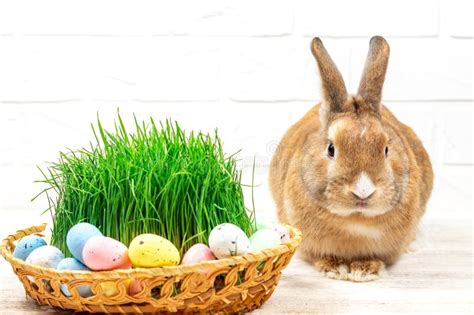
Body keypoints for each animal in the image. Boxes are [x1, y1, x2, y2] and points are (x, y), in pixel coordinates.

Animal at [268, 35, 432, 282]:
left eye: (386, 148)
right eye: (331, 149)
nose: (363, 192)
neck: (355, 219)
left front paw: (364, 271)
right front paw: (335, 269)